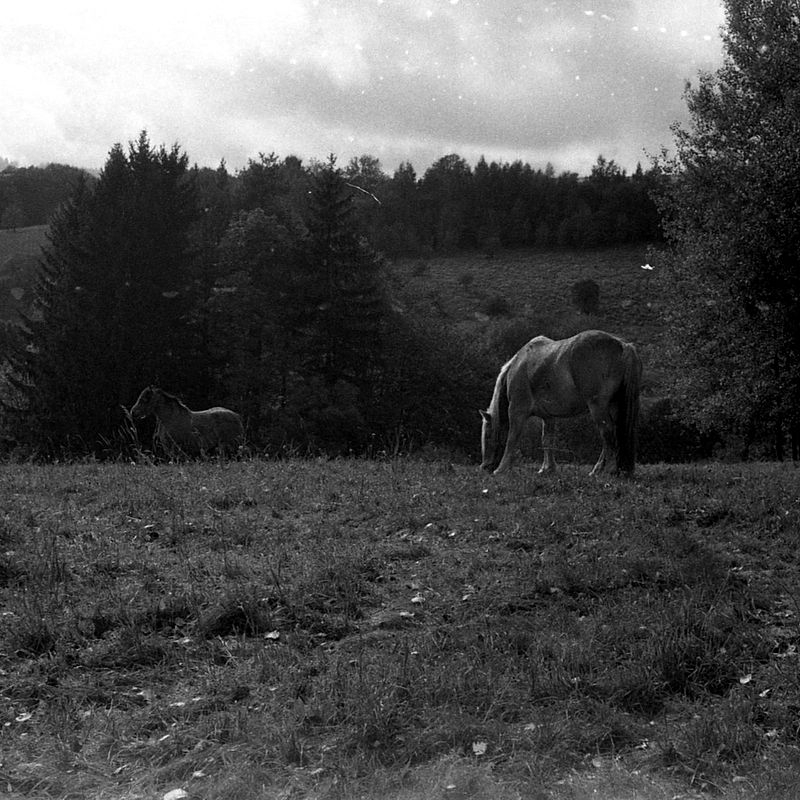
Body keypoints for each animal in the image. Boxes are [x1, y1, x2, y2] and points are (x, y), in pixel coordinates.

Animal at [480, 330, 642, 476]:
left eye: (487, 435)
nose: (485, 466)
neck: (519, 366)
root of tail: (623, 346)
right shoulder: (548, 417)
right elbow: (547, 440)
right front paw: (547, 468)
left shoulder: (517, 410)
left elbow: (512, 438)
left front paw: (501, 469)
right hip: (614, 407)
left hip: (598, 407)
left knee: (607, 433)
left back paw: (606, 469)